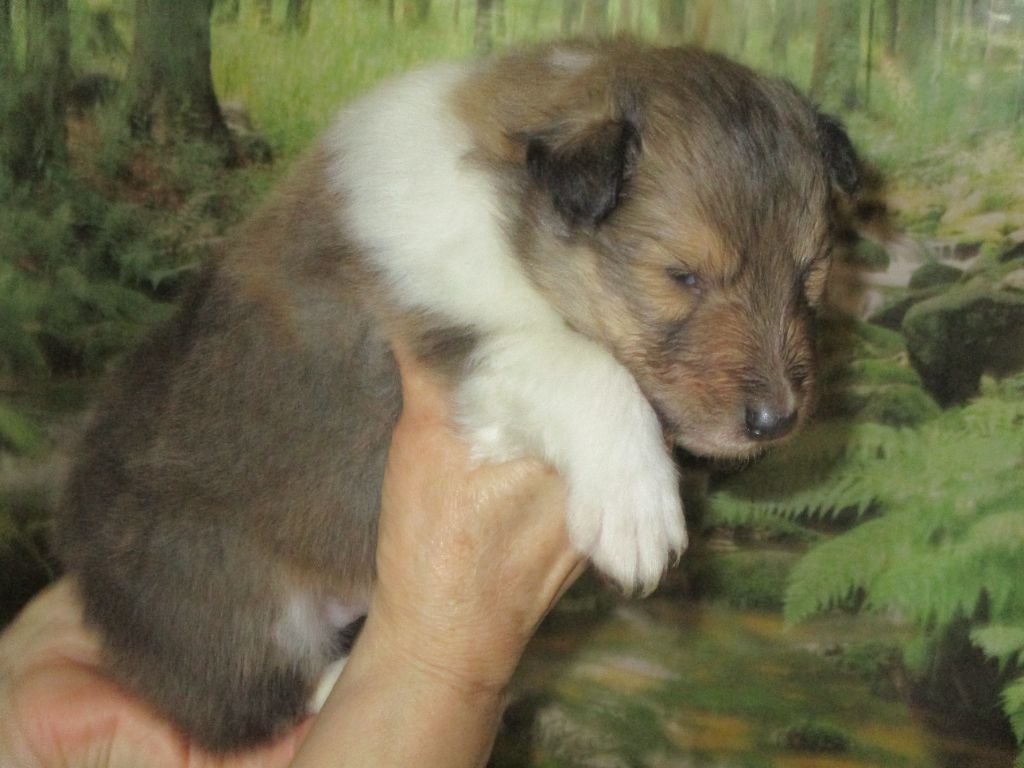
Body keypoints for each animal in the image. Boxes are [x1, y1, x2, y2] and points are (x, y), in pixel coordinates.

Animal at [56, 40, 864, 751]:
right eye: (682, 275)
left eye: (809, 272)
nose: (776, 421)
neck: (505, 214)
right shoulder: (455, 332)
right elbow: (580, 366)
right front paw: (637, 512)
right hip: (222, 594)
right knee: (240, 701)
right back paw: (333, 679)